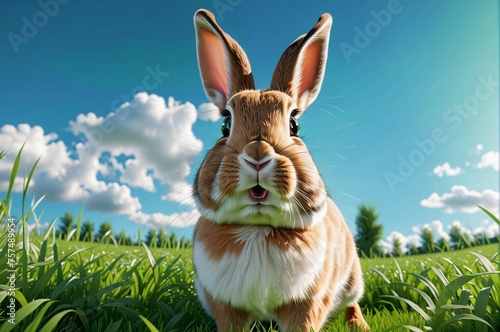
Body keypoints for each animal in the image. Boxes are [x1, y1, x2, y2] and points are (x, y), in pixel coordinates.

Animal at [191, 8, 368, 332]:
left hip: (352, 279)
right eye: (225, 125)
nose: (258, 155)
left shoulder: (308, 302)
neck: (258, 229)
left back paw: (359, 324)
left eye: (294, 124)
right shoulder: (225, 307)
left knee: (353, 302)